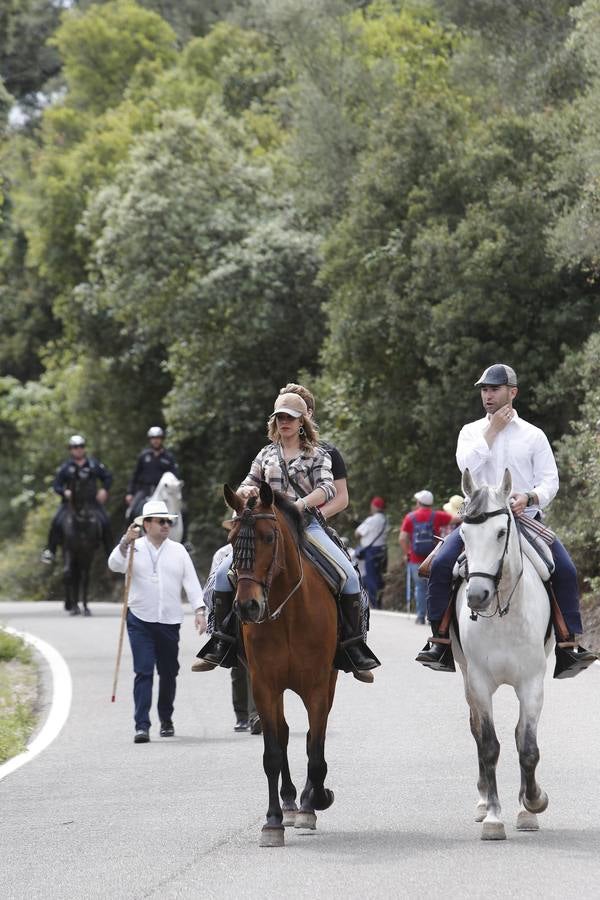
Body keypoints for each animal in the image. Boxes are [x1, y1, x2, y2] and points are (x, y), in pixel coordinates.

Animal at [224, 482, 340, 848]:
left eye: (267, 537)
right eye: (232, 538)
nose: (247, 606)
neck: (288, 613)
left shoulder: (317, 685)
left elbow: (315, 751)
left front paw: (317, 799)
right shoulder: (264, 684)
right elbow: (272, 753)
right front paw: (273, 821)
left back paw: (304, 802)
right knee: (286, 734)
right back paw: (289, 803)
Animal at [454, 468, 552, 840]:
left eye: (499, 532)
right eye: (463, 533)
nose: (477, 595)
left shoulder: (532, 683)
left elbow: (527, 746)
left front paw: (533, 803)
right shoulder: (479, 683)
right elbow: (488, 745)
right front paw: (494, 817)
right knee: (476, 731)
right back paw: (484, 803)